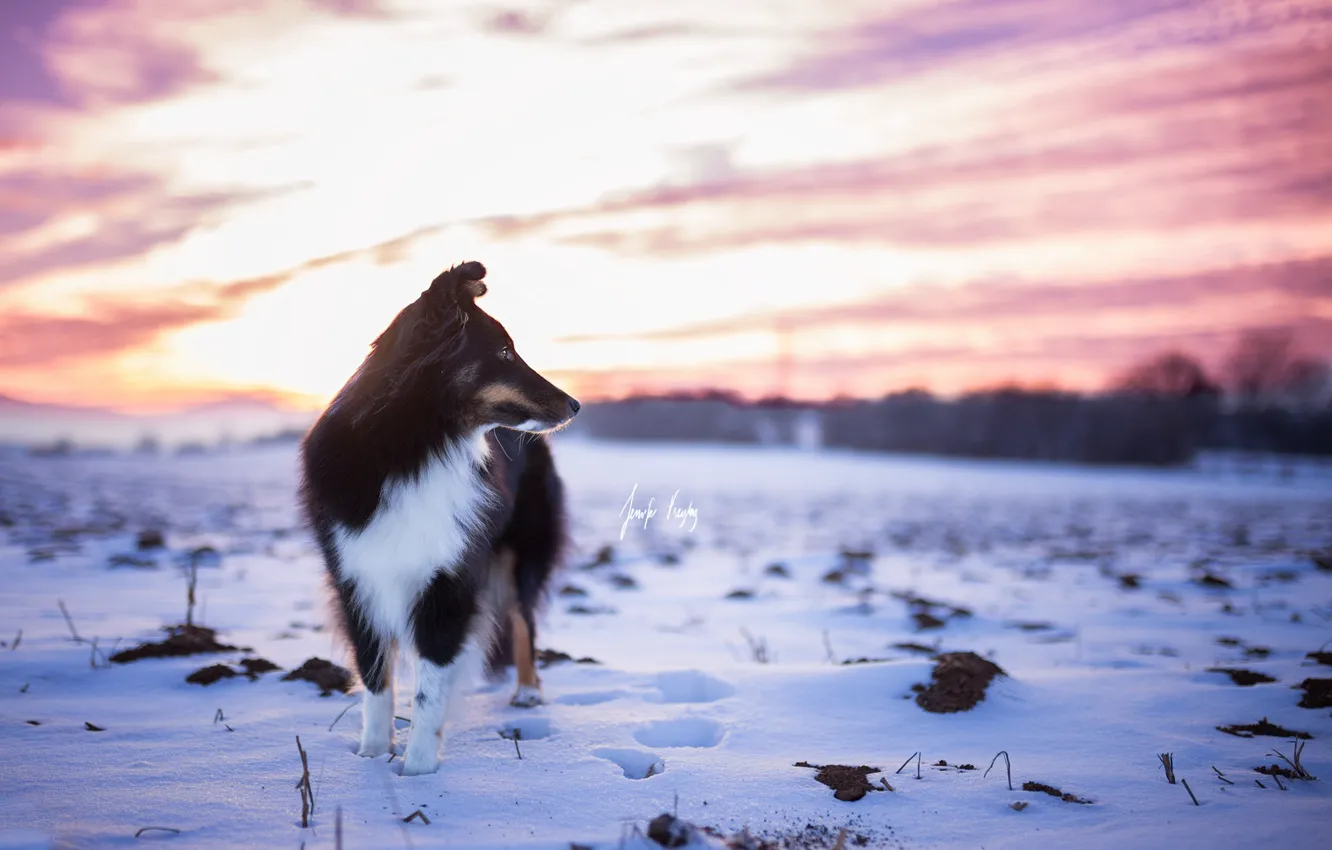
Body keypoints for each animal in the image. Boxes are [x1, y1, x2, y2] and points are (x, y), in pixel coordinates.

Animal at [301, 263, 578, 778]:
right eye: (504, 352)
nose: (575, 405)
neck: (417, 449)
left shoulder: (448, 580)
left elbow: (430, 688)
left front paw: (417, 774)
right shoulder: (357, 579)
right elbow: (375, 678)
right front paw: (371, 758)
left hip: (520, 555)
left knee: (523, 615)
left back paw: (528, 691)